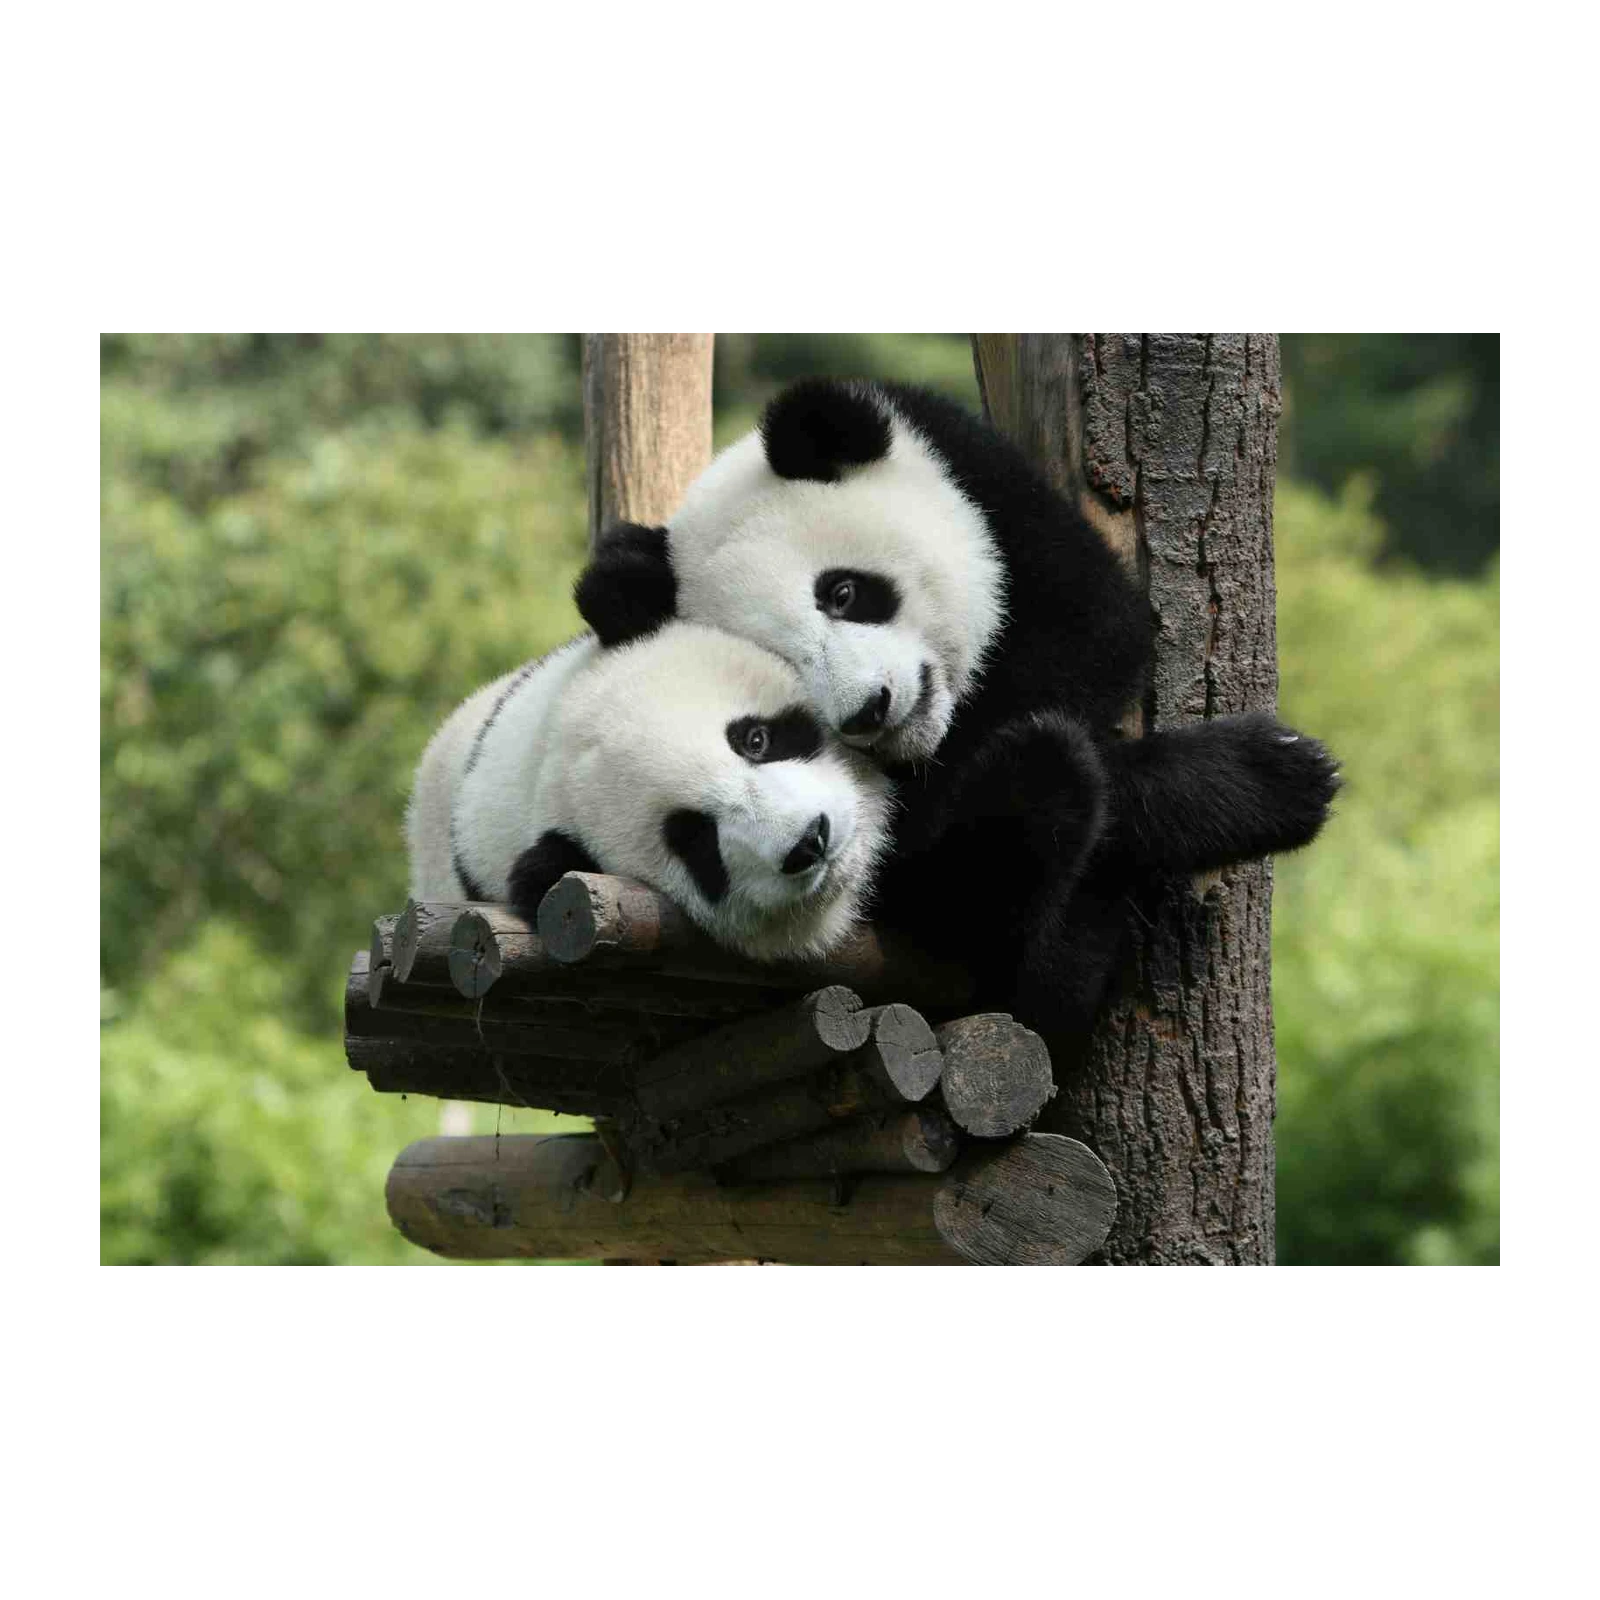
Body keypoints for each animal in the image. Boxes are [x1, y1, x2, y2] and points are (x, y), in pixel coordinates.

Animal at [573, 377, 1340, 1044]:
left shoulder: (985, 485)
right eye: (783, 663)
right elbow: (926, 852)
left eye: (843, 593)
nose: (870, 710)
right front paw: (1269, 780)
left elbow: (1097, 633)